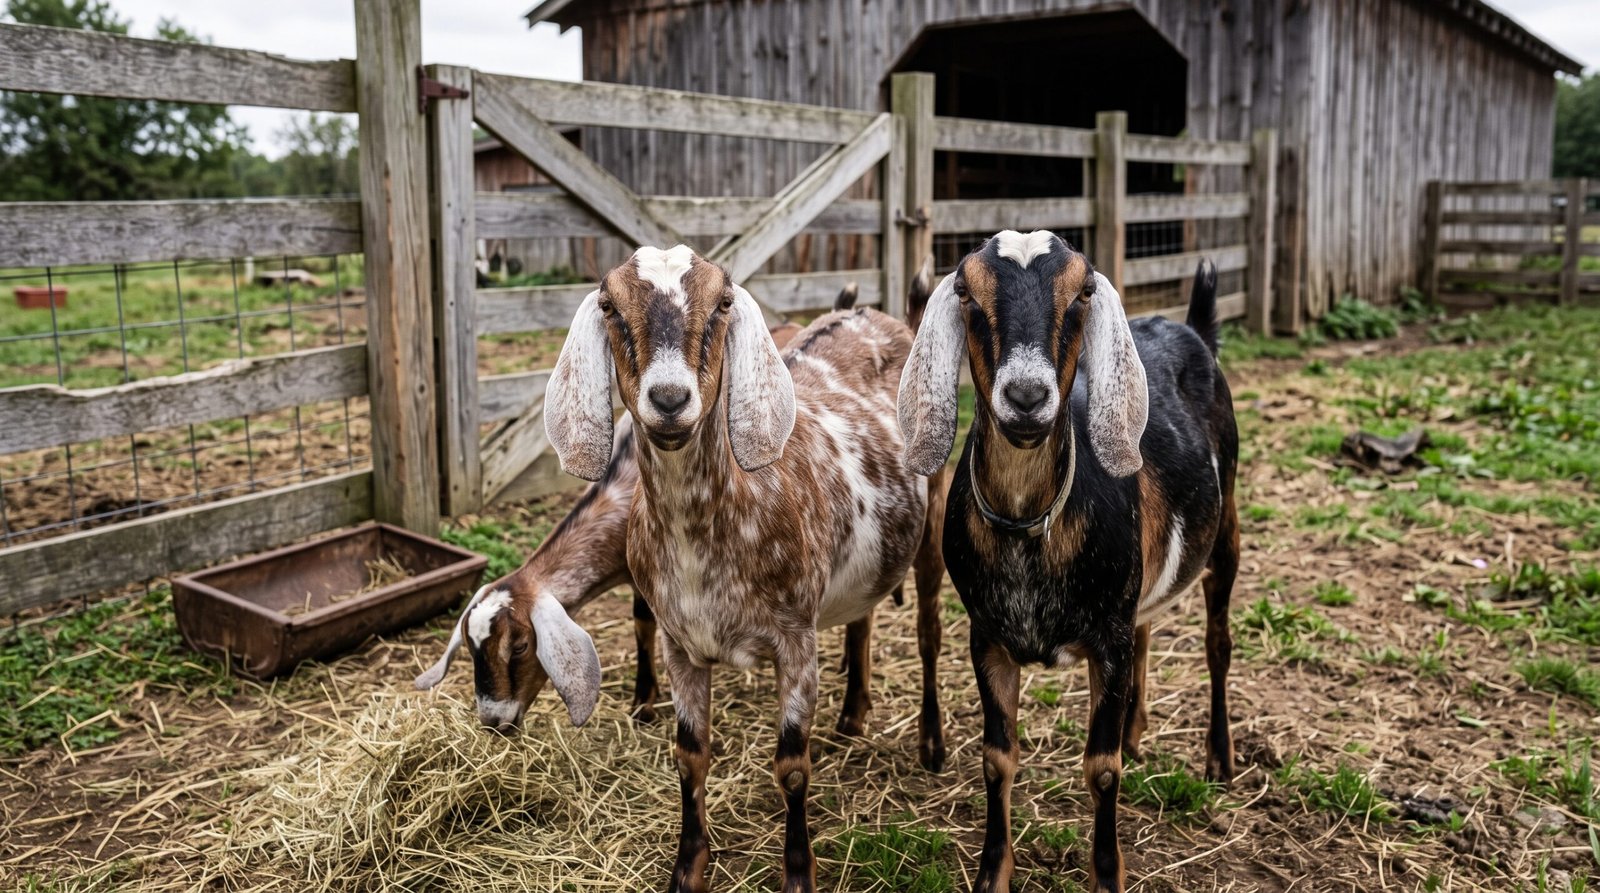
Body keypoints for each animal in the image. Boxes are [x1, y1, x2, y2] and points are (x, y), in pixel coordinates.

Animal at [412, 293, 857, 733]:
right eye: (472, 648)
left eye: (521, 645)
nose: (494, 720)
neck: (625, 485)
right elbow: (640, 622)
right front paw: (643, 701)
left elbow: (646, 622)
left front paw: (645, 700)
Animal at [544, 245, 939, 893]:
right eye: (609, 306)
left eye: (724, 302)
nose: (670, 400)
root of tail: (879, 315)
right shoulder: (679, 643)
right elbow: (689, 754)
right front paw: (688, 868)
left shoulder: (795, 639)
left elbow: (792, 766)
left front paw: (799, 875)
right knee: (864, 611)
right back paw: (853, 715)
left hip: (936, 515)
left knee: (930, 628)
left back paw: (931, 744)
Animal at [897, 232, 1239, 893]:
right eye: (966, 293)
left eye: (1082, 292)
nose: (1027, 397)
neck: (1031, 525)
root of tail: (1191, 329)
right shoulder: (989, 639)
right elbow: (996, 760)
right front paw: (992, 873)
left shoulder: (1106, 639)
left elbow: (1101, 768)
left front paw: (1107, 875)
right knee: (1148, 629)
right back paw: (1137, 733)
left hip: (1227, 524)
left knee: (1218, 643)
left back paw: (1218, 757)